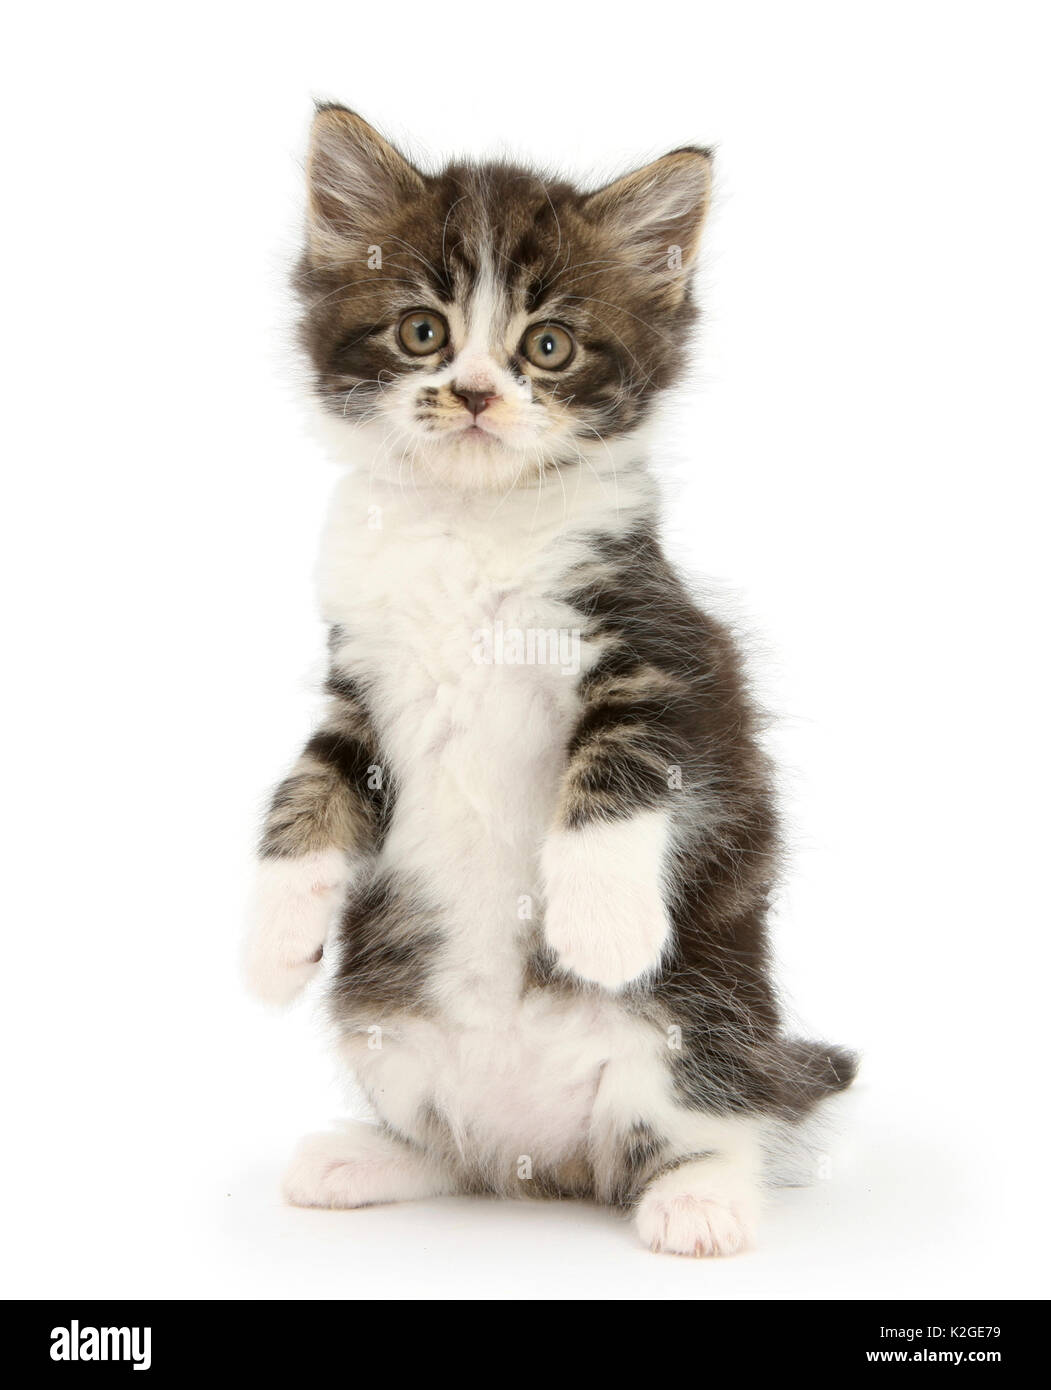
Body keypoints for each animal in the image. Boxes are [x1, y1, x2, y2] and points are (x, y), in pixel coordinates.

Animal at [246, 105, 856, 1262]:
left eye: (548, 346)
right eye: (422, 333)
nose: (476, 394)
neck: (469, 525)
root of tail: (549, 1163)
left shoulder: (662, 654)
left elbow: (615, 781)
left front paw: (599, 927)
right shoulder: (357, 692)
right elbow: (300, 798)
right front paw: (270, 944)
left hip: (699, 1017)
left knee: (718, 1125)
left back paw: (698, 1202)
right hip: (384, 1026)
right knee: (456, 1151)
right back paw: (366, 1158)